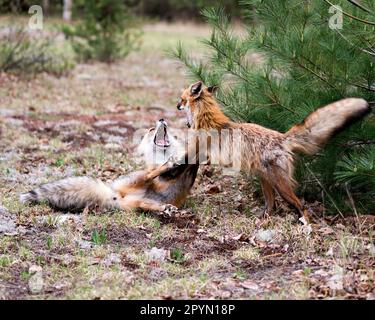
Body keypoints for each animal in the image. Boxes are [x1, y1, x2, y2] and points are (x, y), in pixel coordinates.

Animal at [20, 120, 200, 215]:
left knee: (148, 205)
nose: (162, 120)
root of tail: (113, 194)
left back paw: (166, 208)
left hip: (140, 204)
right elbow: (186, 157)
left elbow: (192, 160)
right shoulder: (168, 173)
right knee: (149, 175)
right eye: (151, 129)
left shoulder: (188, 174)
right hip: (139, 179)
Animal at [178, 80, 372, 220]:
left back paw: (306, 226)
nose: (177, 106)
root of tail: (282, 138)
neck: (206, 119)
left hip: (281, 186)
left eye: (182, 99)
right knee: (271, 206)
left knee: (300, 206)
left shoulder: (196, 152)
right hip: (266, 182)